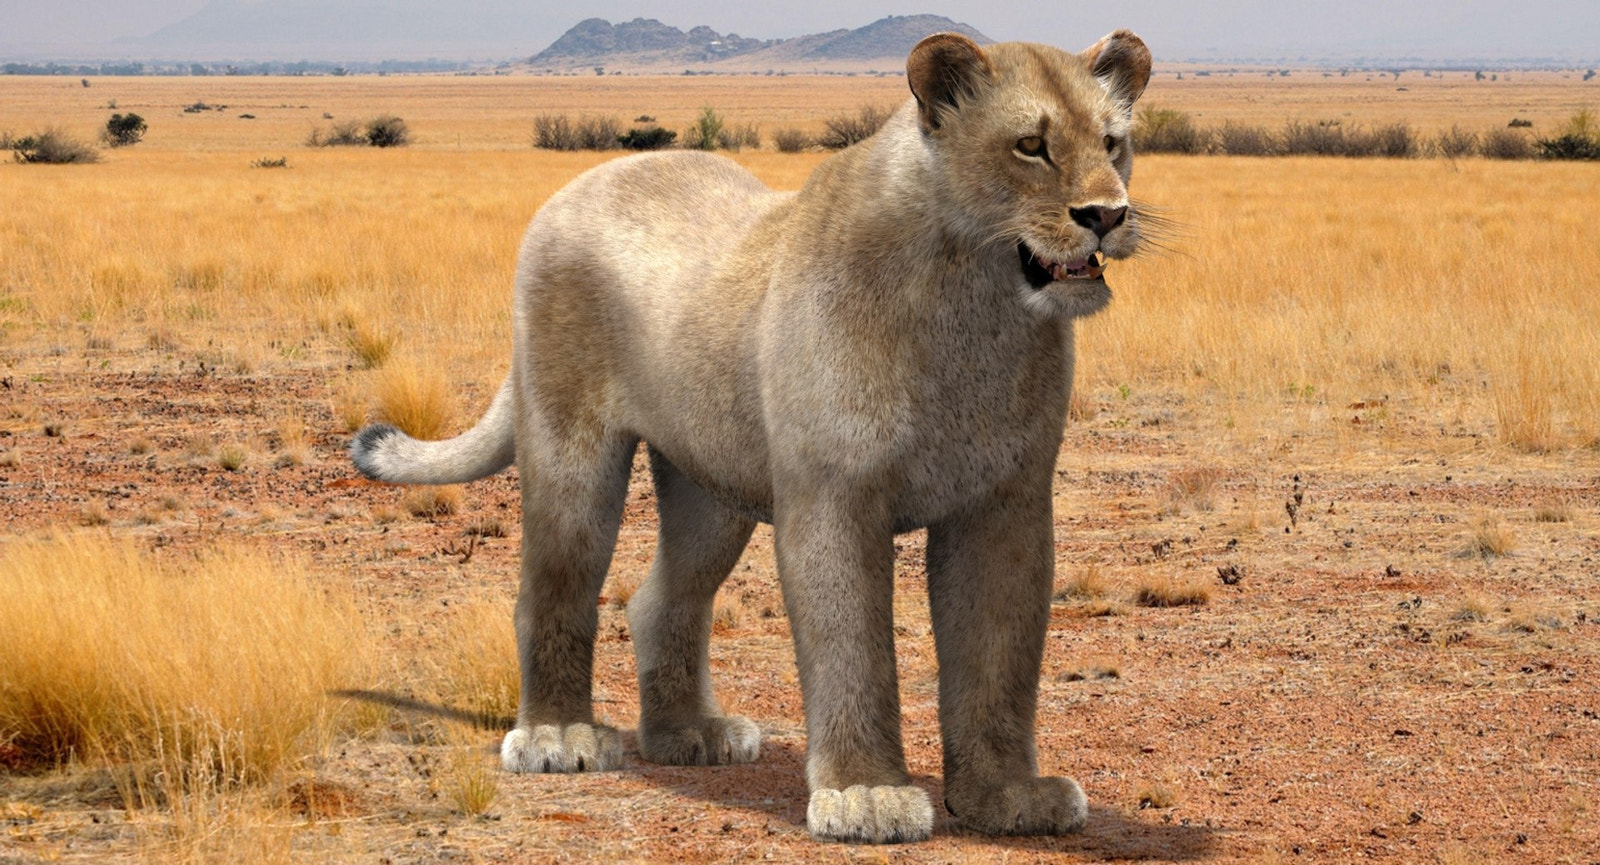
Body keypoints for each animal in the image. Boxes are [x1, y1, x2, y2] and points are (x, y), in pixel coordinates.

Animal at [351, 30, 1152, 843]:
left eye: (1112, 142)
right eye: (1031, 146)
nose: (1107, 215)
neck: (979, 306)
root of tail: (576, 186)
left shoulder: (1005, 503)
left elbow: (999, 656)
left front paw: (1007, 797)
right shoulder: (833, 498)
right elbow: (851, 646)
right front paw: (866, 795)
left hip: (711, 489)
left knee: (659, 598)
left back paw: (688, 735)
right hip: (571, 448)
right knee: (554, 583)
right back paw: (556, 736)